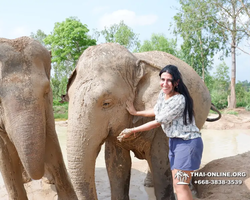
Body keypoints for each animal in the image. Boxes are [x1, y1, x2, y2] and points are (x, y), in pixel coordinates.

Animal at [65, 43, 214, 199]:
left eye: (106, 103)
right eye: (68, 97)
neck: (136, 63)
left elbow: (160, 161)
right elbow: (116, 164)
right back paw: (148, 184)